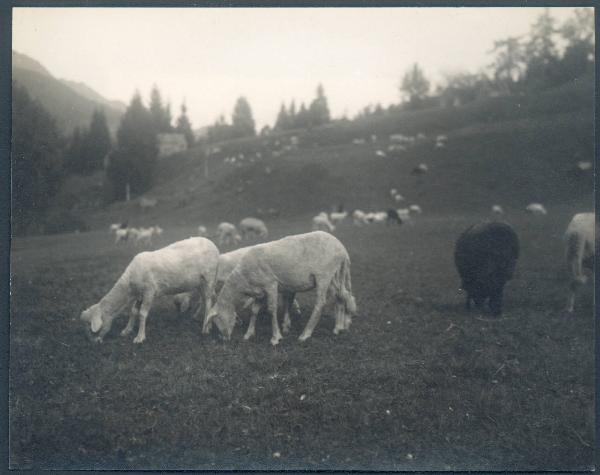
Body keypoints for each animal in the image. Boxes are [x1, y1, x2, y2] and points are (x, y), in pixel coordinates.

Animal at [81, 240, 218, 344]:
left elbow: (142, 314)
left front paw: (140, 337)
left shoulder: (149, 292)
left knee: (208, 301)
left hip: (209, 278)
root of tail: (212, 244)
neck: (129, 283)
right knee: (206, 299)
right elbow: (133, 311)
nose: (94, 342)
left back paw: (205, 328)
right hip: (200, 283)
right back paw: (204, 321)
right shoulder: (139, 294)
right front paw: (127, 330)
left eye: (91, 328)